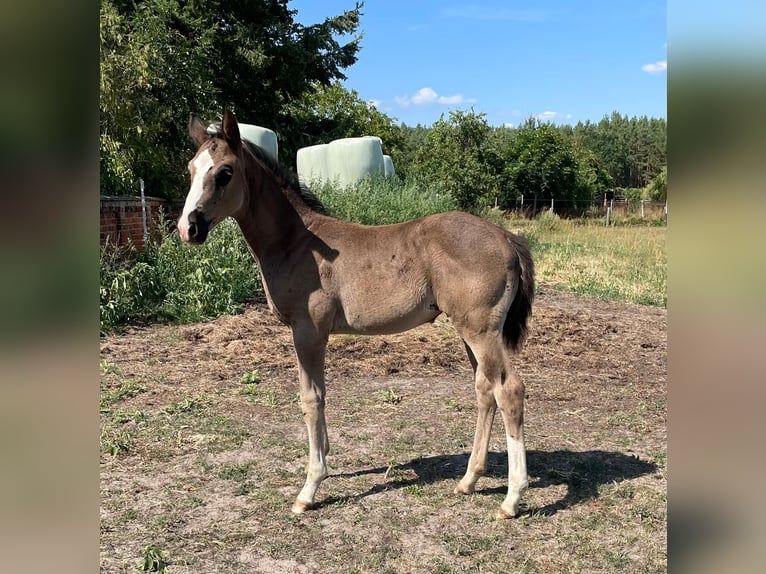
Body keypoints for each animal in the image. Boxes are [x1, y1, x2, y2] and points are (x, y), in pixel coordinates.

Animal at [178, 109, 535, 519]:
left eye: (225, 172)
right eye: (191, 169)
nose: (188, 227)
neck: (296, 242)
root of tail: (507, 236)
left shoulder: (308, 330)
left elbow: (311, 398)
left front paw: (310, 486)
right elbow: (319, 396)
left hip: (480, 330)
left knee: (508, 390)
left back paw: (511, 498)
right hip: (469, 331)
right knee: (485, 389)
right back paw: (468, 480)